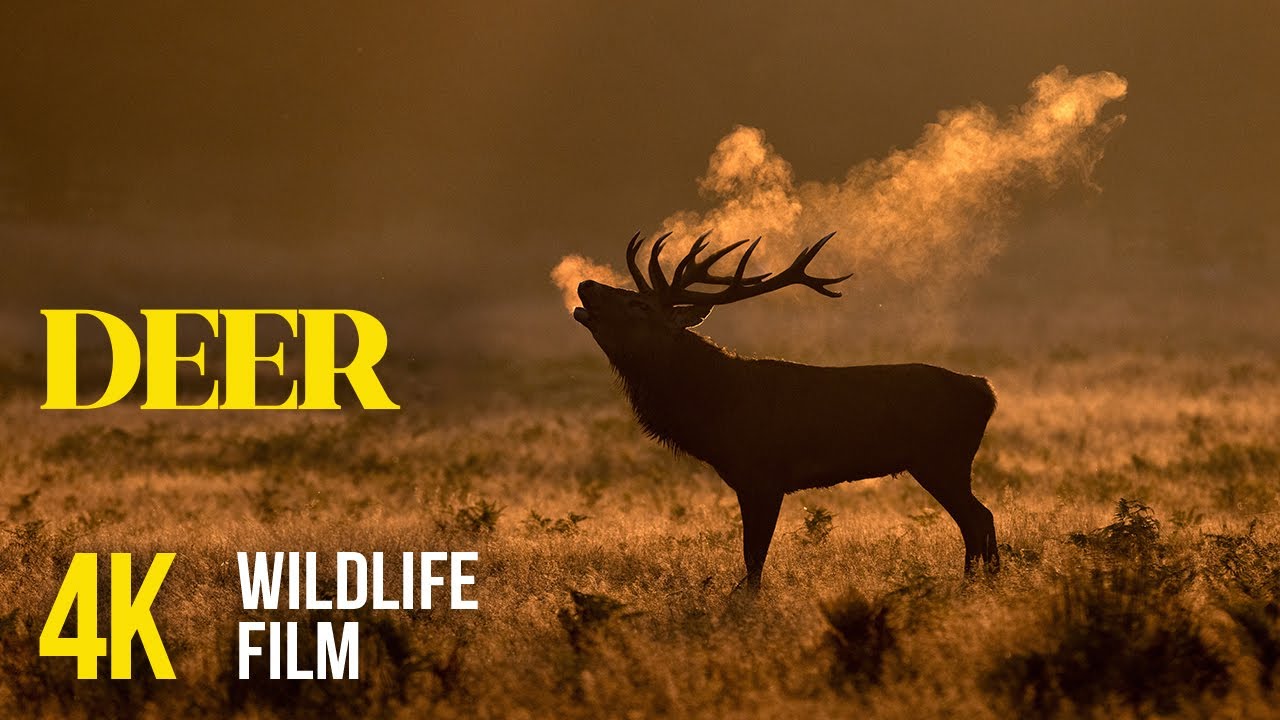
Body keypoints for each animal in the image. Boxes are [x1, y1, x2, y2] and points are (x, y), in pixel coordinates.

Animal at [572, 230, 999, 592]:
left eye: (638, 303)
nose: (586, 284)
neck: (714, 407)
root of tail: (986, 390)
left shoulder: (763, 475)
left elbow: (754, 558)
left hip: (942, 459)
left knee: (978, 518)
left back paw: (974, 587)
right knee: (979, 519)